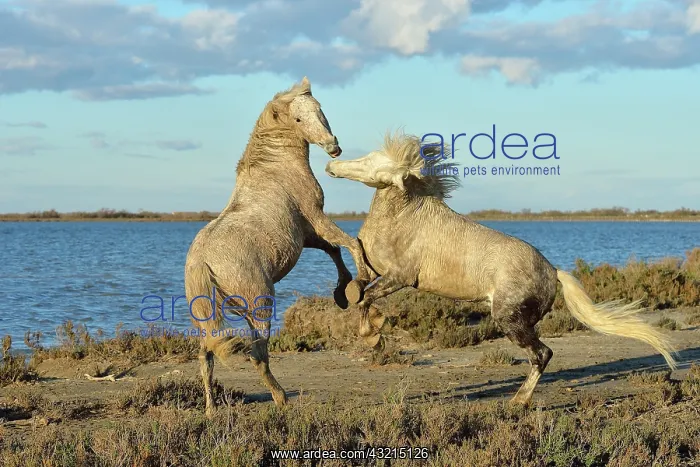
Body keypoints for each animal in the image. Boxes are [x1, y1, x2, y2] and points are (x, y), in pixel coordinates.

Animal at [185, 77, 372, 415]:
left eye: (319, 109)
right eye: (297, 119)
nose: (333, 147)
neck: (275, 168)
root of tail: (202, 261)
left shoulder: (306, 233)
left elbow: (334, 249)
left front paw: (341, 293)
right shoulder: (315, 217)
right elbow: (351, 243)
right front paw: (358, 286)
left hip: (211, 317)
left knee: (206, 356)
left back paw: (211, 410)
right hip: (260, 305)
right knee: (257, 353)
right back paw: (281, 397)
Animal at [325, 131, 677, 405]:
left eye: (372, 162)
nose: (332, 164)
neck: (405, 218)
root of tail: (553, 271)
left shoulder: (400, 277)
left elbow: (366, 298)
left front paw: (373, 338)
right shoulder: (373, 269)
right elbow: (359, 289)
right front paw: (372, 323)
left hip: (509, 319)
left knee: (542, 354)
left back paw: (518, 401)